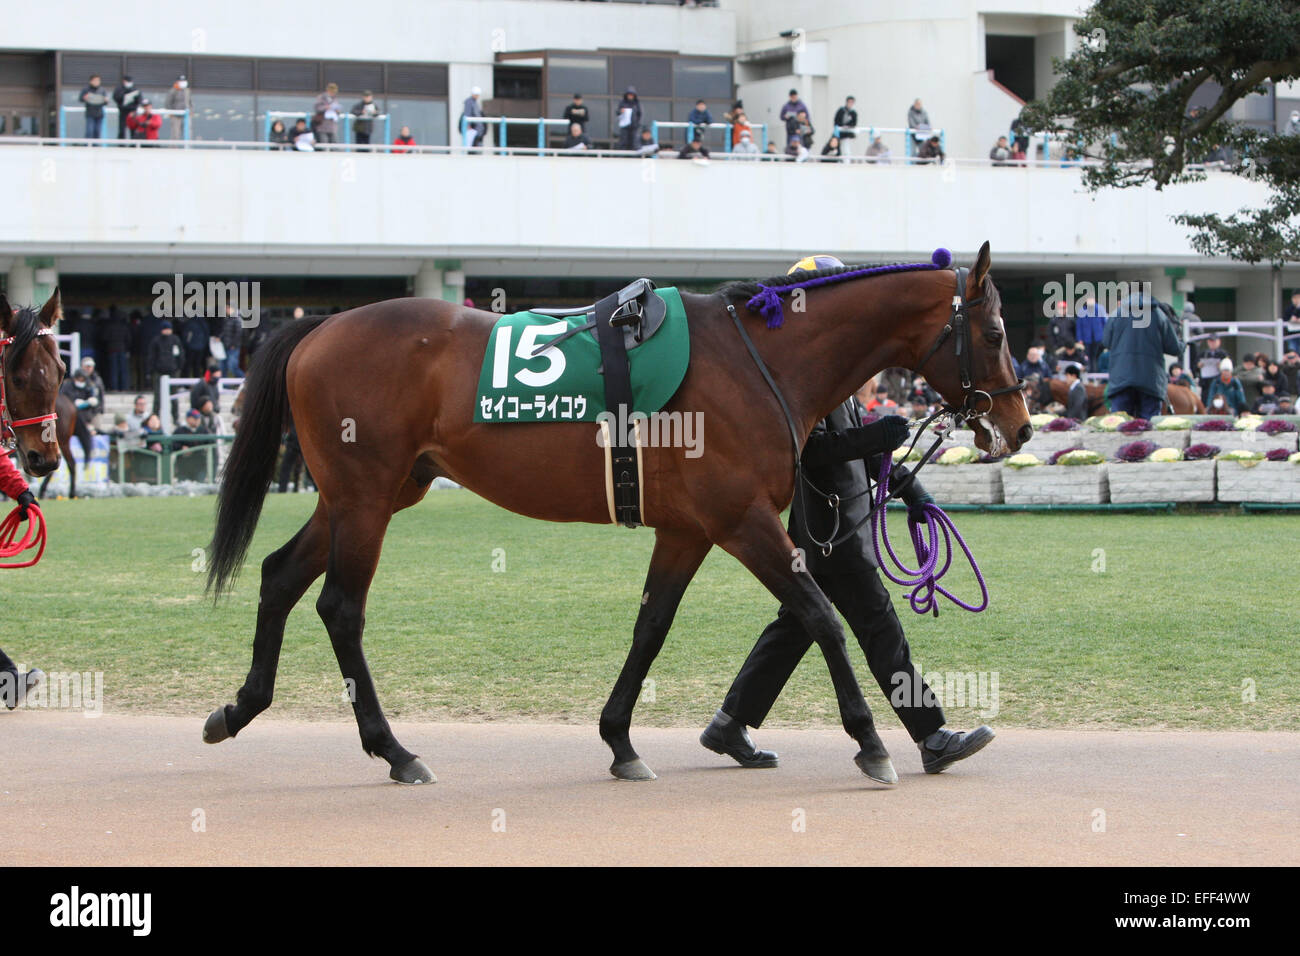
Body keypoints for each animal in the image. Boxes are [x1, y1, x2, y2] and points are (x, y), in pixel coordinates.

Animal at [201, 243, 1032, 785]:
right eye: (994, 332)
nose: (1020, 426)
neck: (757, 359)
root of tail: (320, 326)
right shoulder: (742, 521)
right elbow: (823, 613)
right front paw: (869, 741)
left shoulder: (689, 528)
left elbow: (651, 628)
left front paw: (620, 741)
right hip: (366, 499)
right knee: (340, 608)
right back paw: (395, 751)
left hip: (366, 495)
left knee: (279, 576)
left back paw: (239, 708)